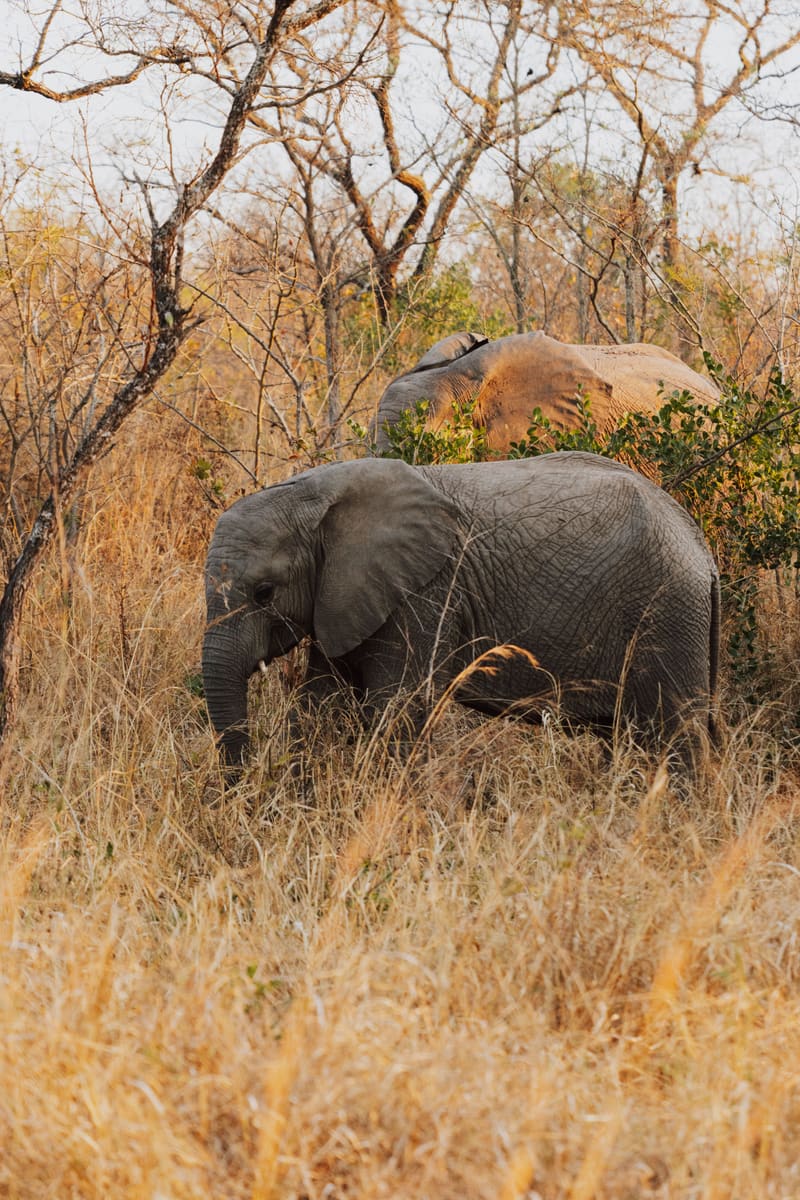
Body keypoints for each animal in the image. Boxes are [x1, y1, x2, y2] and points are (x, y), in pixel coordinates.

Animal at [202, 453, 720, 777]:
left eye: (264, 593)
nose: (242, 786)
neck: (315, 491)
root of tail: (704, 552)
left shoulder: (427, 592)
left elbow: (396, 708)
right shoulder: (346, 595)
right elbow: (322, 703)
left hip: (668, 612)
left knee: (674, 736)